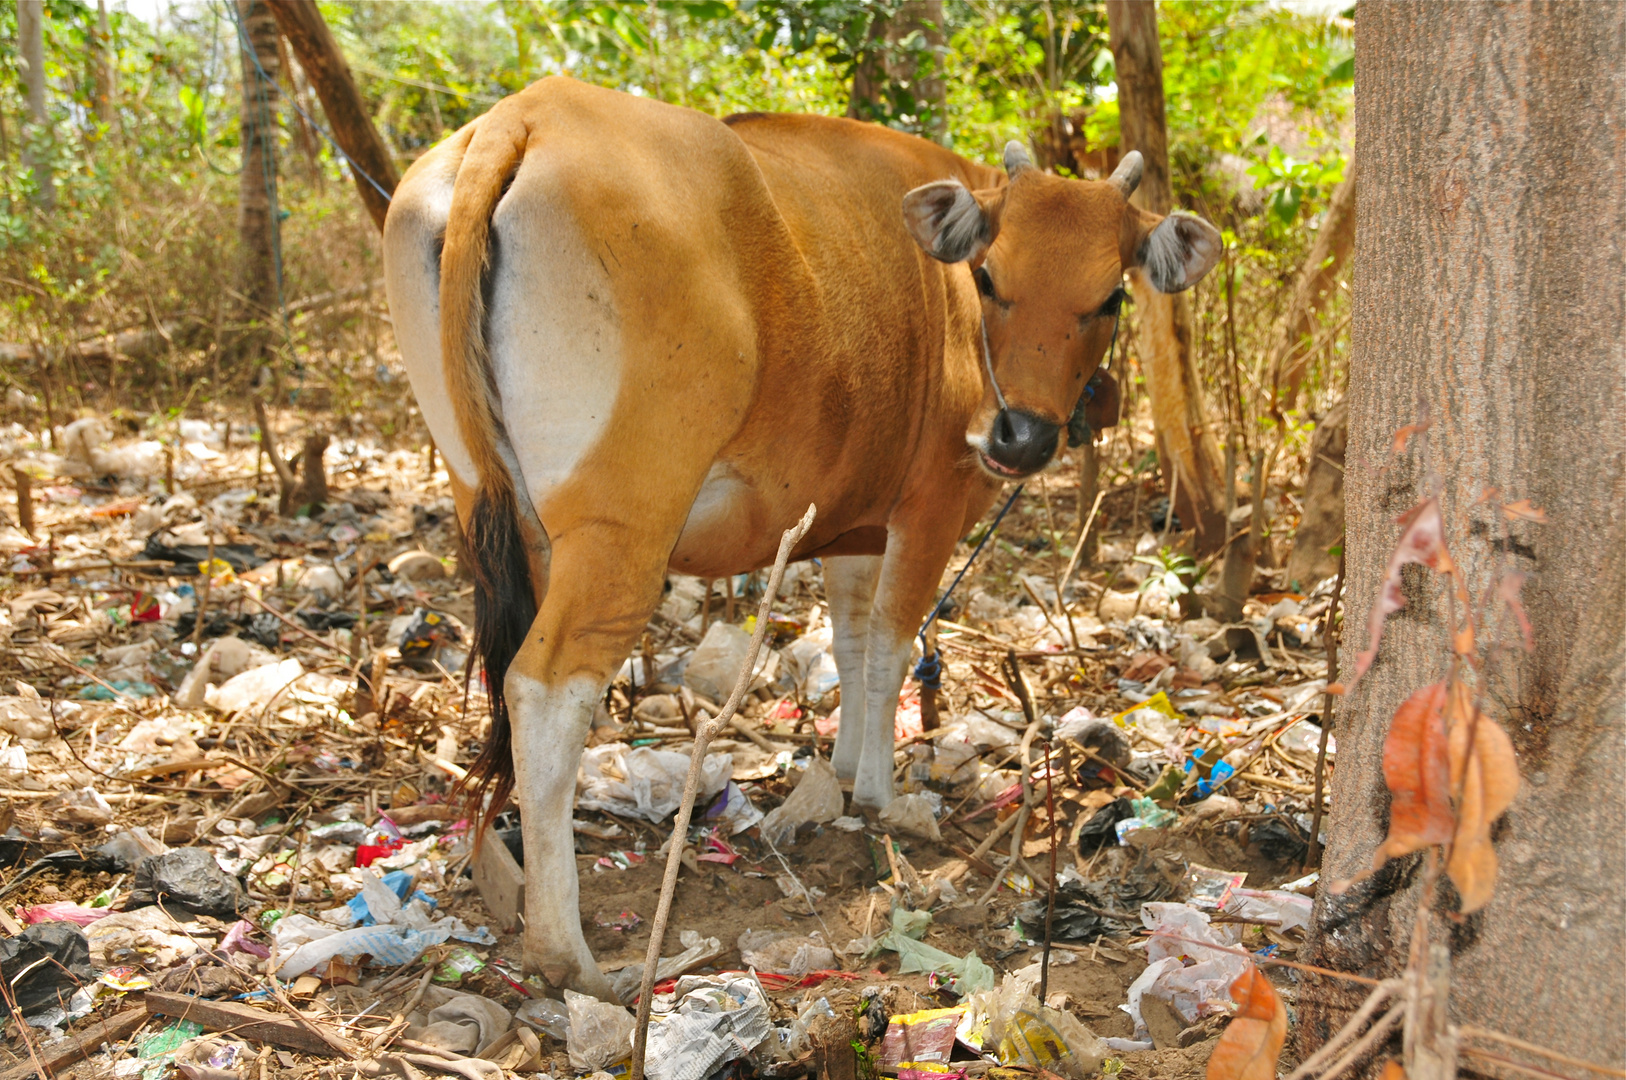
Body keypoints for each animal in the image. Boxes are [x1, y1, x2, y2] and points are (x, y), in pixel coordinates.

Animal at [383, 78, 1222, 1001]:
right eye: (990, 277)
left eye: (1110, 297)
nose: (1022, 436)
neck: (946, 306)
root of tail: (525, 117)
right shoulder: (929, 506)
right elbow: (892, 644)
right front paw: (883, 799)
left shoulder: (856, 529)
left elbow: (851, 645)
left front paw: (849, 771)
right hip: (623, 526)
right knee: (543, 688)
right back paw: (568, 955)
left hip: (492, 509)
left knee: (501, 674)